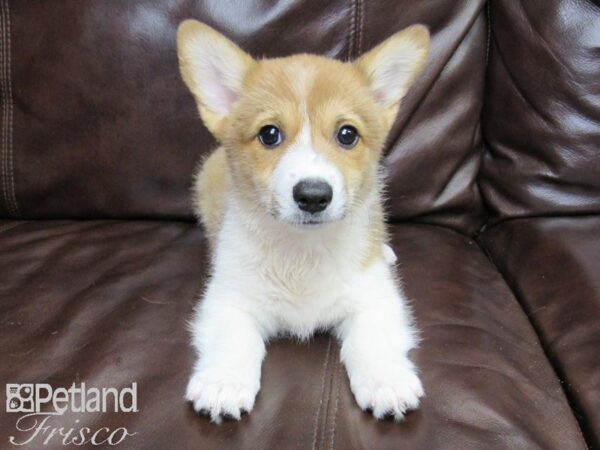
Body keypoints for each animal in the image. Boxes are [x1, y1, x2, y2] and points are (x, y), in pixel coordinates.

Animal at [176, 20, 428, 422]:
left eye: (347, 134)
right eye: (269, 134)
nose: (313, 195)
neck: (302, 250)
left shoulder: (376, 300)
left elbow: (371, 338)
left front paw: (386, 381)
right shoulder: (229, 299)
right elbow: (234, 338)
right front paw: (223, 383)